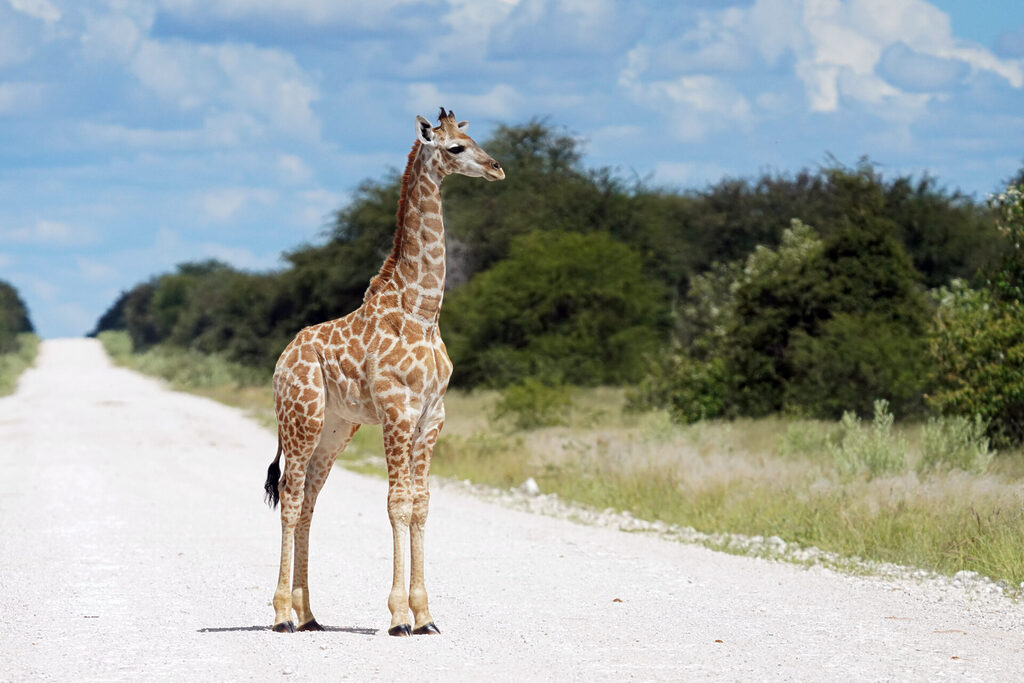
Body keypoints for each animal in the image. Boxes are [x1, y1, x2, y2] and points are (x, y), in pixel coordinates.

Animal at [263, 108, 504, 635]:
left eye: (473, 138)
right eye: (455, 148)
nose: (496, 167)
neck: (423, 310)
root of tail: (281, 360)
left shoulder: (433, 416)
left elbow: (421, 504)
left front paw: (426, 615)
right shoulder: (397, 409)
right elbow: (397, 503)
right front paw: (397, 617)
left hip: (336, 427)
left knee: (309, 499)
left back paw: (309, 615)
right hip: (302, 417)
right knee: (290, 496)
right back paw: (282, 615)